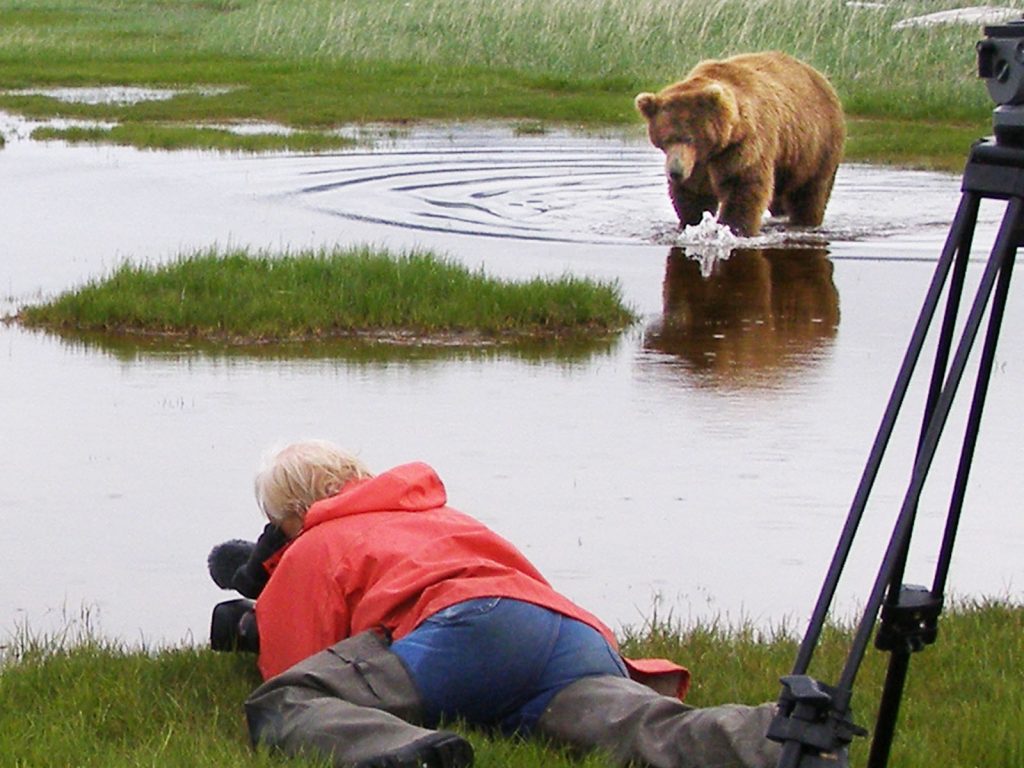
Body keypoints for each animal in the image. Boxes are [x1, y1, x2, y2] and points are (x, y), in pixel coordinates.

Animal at [635, 51, 845, 236]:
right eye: (665, 140)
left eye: (689, 138)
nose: (675, 172)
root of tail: (820, 77)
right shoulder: (698, 164)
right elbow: (694, 195)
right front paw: (692, 222)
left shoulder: (745, 144)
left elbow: (743, 185)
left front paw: (734, 228)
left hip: (817, 146)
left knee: (810, 194)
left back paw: (806, 221)